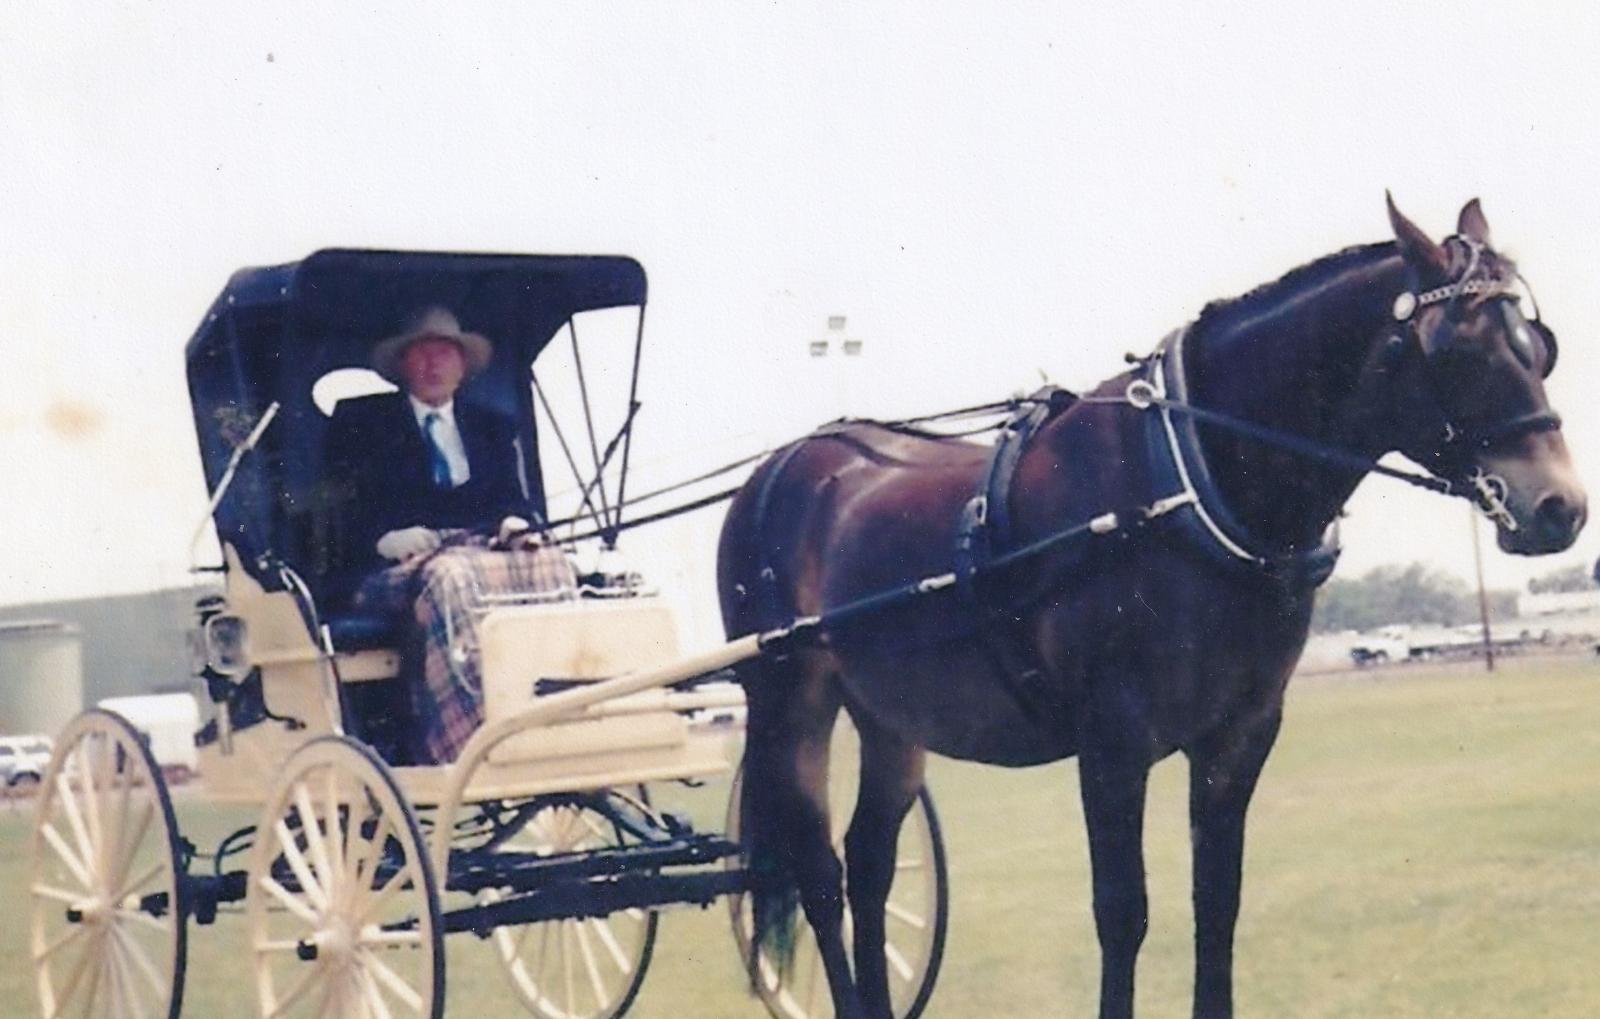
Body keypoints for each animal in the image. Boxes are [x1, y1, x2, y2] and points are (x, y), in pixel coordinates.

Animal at [716, 196, 1587, 1017]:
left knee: (869, 864)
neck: (1188, 485)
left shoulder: (1239, 736)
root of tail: (780, 470)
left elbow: (1217, 901)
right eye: (1459, 349)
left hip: (892, 717)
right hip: (793, 700)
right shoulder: (1112, 743)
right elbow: (1122, 912)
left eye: (1539, 344)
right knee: (821, 874)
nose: (1561, 507)